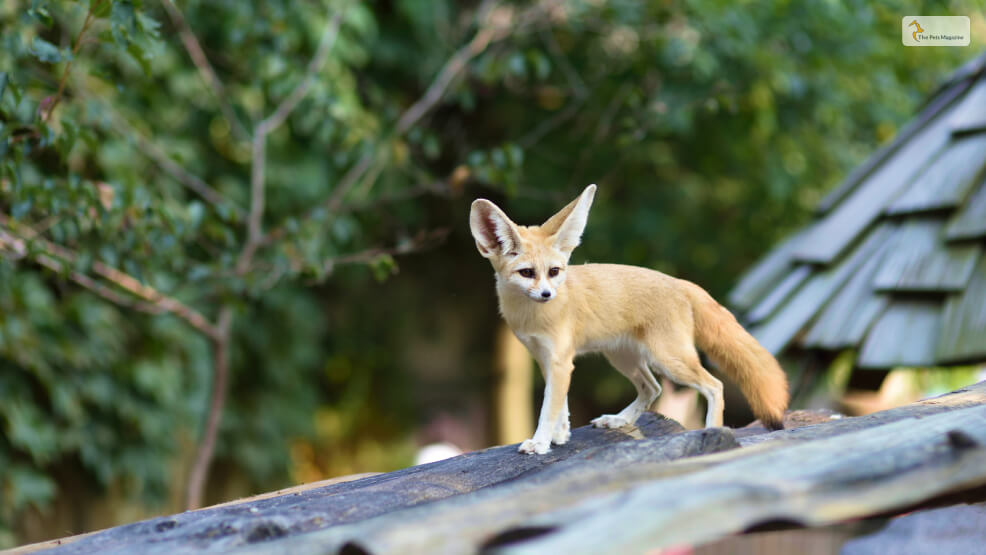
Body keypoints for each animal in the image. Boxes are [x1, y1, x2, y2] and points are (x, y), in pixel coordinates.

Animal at [468, 185, 784, 454]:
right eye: (527, 273)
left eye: (554, 272)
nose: (547, 294)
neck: (531, 316)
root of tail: (679, 282)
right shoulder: (548, 360)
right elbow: (561, 407)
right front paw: (561, 435)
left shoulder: (560, 362)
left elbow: (548, 409)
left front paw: (540, 442)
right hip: (625, 359)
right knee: (653, 388)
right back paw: (620, 420)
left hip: (668, 360)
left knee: (714, 385)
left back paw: (713, 431)